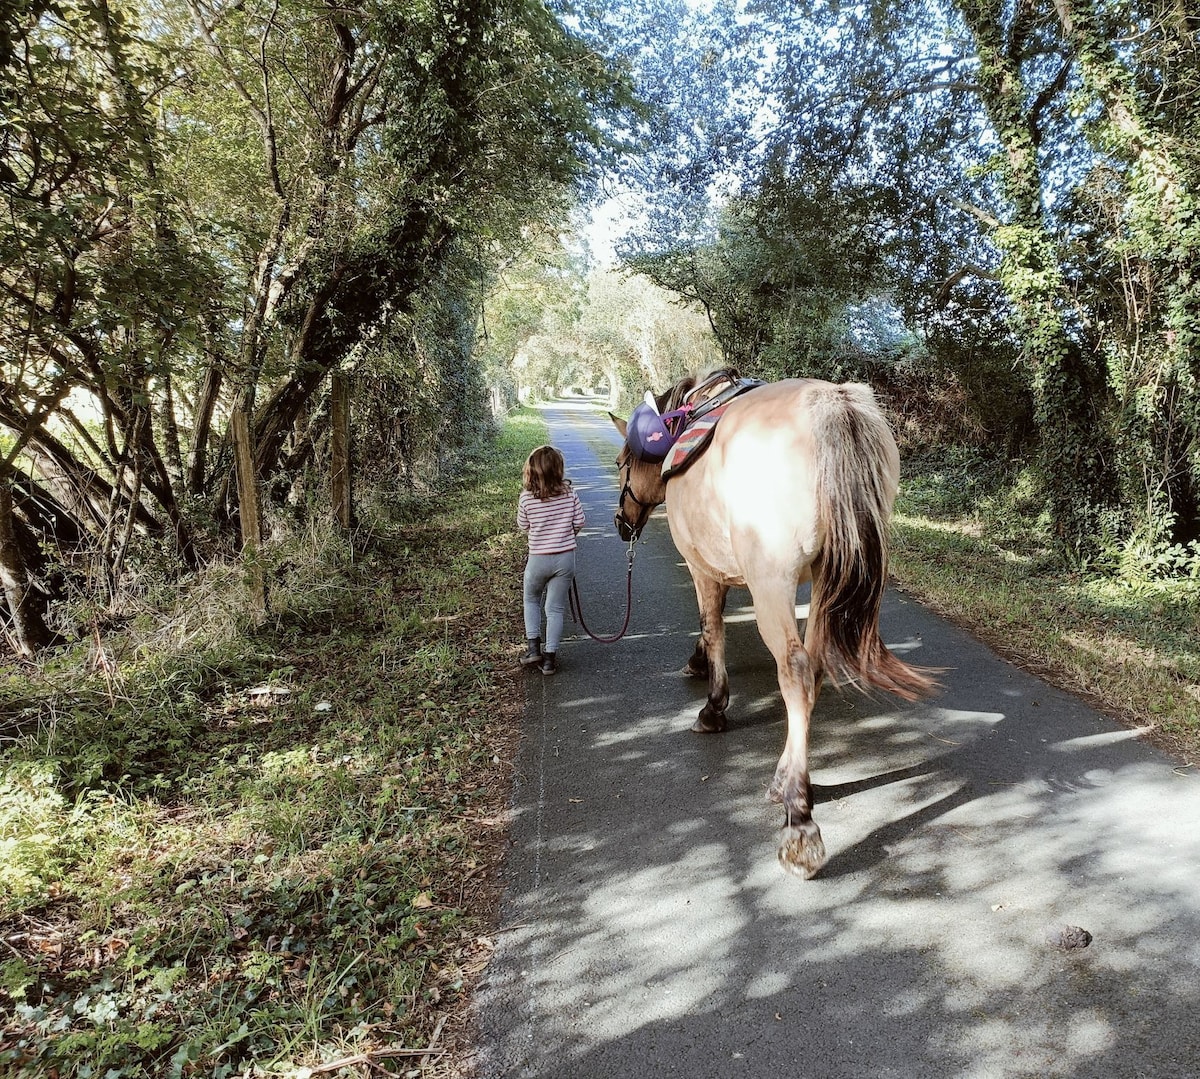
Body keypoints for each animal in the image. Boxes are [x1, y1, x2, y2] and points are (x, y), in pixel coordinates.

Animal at [609, 372, 936, 878]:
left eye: (622, 463)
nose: (621, 523)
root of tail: (832, 404)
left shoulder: (701, 567)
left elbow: (711, 625)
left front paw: (713, 704)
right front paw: (699, 666)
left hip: (772, 581)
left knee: (796, 671)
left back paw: (799, 819)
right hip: (824, 577)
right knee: (814, 668)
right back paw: (785, 783)